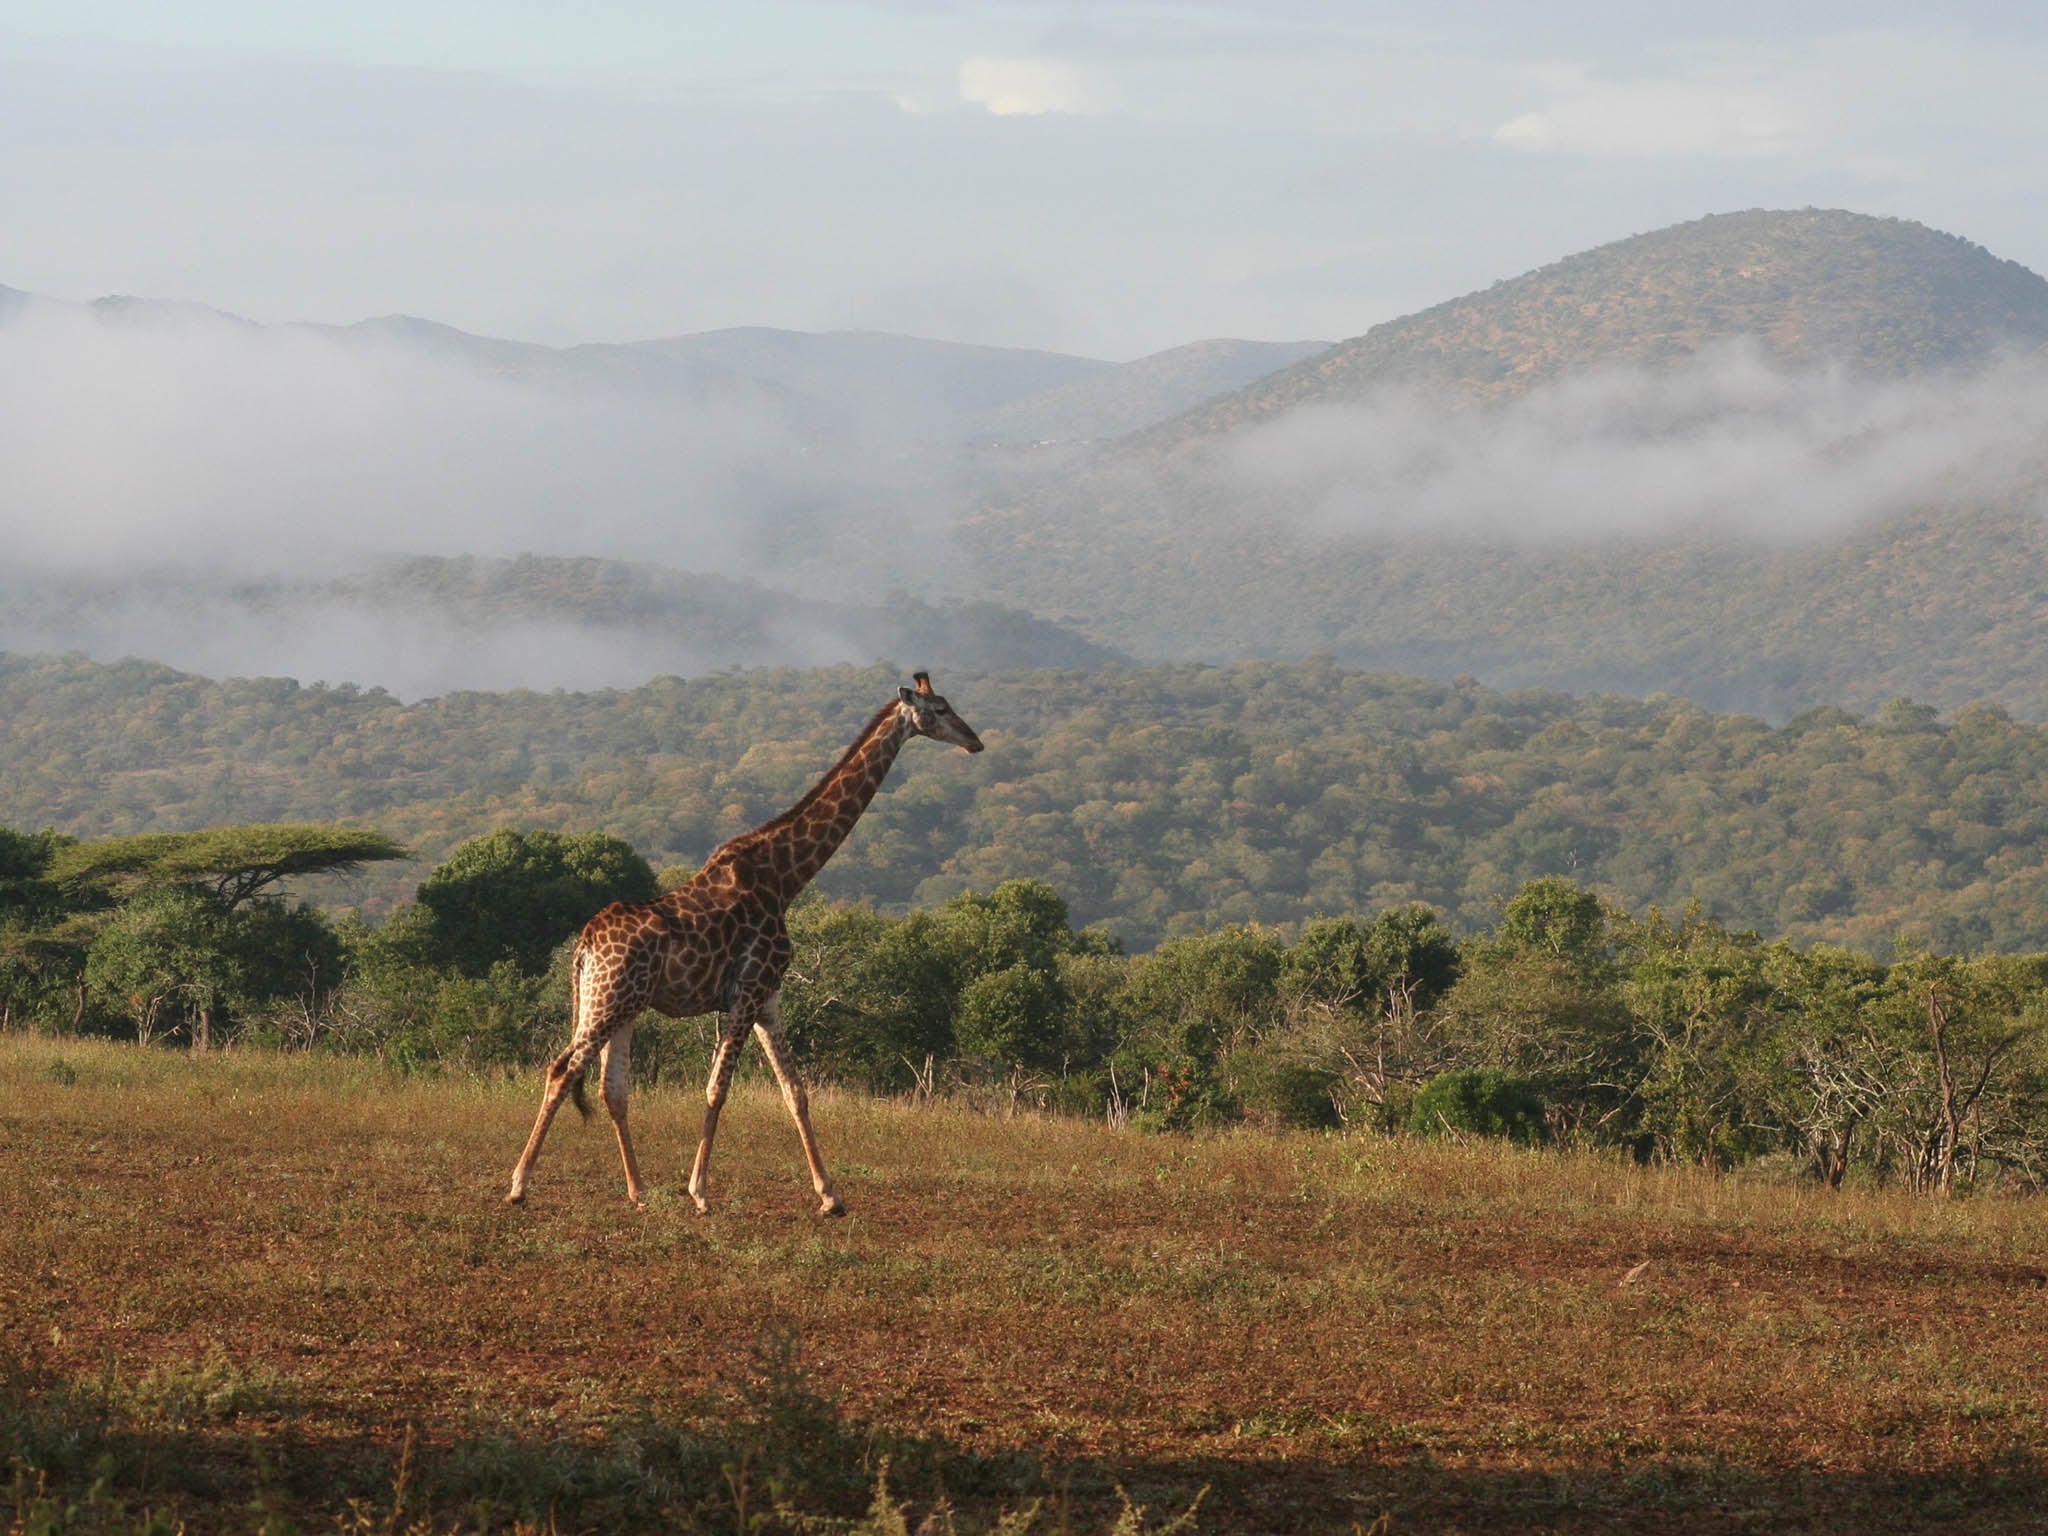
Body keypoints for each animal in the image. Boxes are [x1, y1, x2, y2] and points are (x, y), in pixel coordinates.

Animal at [503, 671, 983, 1212]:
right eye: (940, 709)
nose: (975, 741)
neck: (785, 877)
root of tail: (584, 945)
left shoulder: (768, 996)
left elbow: (795, 1090)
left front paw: (830, 1196)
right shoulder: (748, 990)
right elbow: (718, 1089)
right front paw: (700, 1192)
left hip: (619, 1004)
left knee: (612, 1088)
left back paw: (639, 1191)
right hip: (609, 1001)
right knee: (562, 1070)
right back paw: (519, 1185)